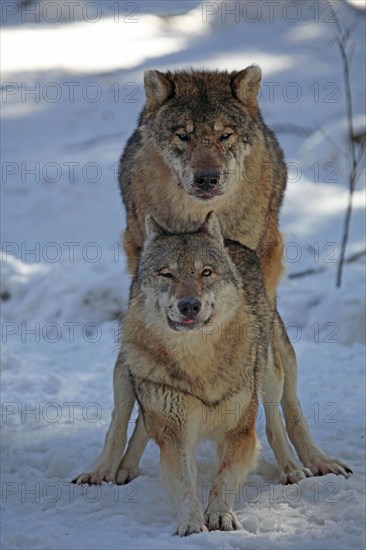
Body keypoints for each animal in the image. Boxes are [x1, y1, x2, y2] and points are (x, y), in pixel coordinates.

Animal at [73, 66, 350, 492]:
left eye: (224, 135)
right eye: (183, 135)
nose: (206, 178)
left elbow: (266, 414)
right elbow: (136, 414)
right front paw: (113, 466)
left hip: (278, 341)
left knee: (285, 407)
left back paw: (309, 463)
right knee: (129, 412)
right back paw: (113, 468)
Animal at [78, 216, 272, 540]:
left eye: (206, 272)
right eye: (167, 274)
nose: (189, 305)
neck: (199, 364)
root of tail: (232, 242)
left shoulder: (240, 431)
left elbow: (225, 476)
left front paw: (220, 515)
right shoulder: (175, 433)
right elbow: (183, 481)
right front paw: (191, 523)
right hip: (126, 374)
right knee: (120, 425)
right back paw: (104, 471)